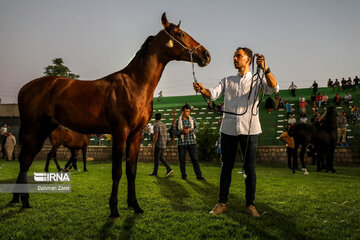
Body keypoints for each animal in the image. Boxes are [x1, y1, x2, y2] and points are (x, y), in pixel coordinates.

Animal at [9, 12, 211, 219]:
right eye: (180, 33)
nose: (206, 55)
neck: (135, 84)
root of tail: (25, 88)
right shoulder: (120, 132)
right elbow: (117, 171)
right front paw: (114, 209)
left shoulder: (136, 134)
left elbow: (131, 170)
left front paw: (135, 205)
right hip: (33, 130)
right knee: (25, 160)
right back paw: (23, 200)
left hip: (43, 131)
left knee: (27, 160)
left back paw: (20, 199)